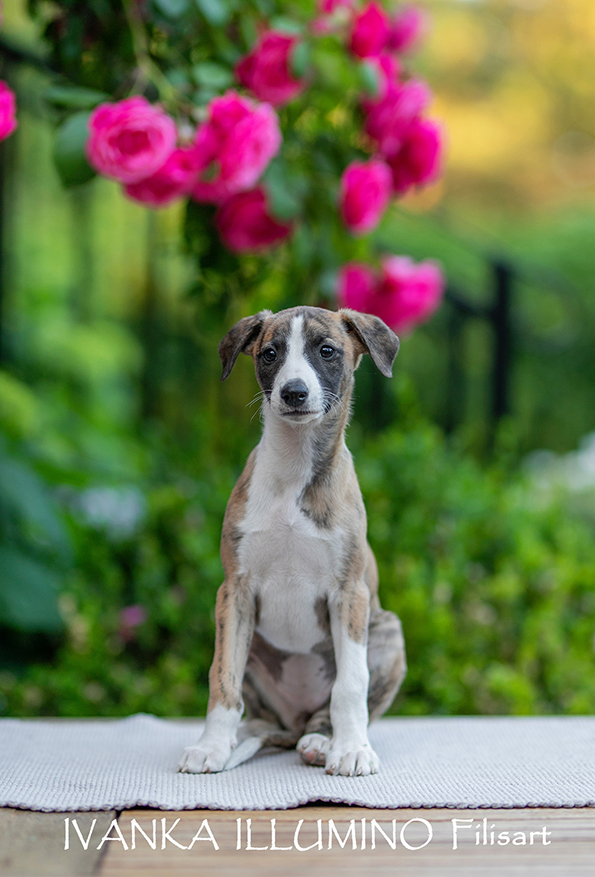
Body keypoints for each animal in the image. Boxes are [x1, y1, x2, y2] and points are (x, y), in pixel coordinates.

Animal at [178, 306, 406, 777]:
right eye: (270, 353)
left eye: (327, 351)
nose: (294, 392)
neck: (295, 468)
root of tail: (294, 720)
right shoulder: (235, 591)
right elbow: (221, 678)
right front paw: (211, 746)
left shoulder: (350, 593)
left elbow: (350, 684)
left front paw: (352, 749)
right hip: (254, 649)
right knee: (257, 713)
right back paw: (245, 737)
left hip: (388, 633)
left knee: (327, 708)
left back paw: (322, 741)